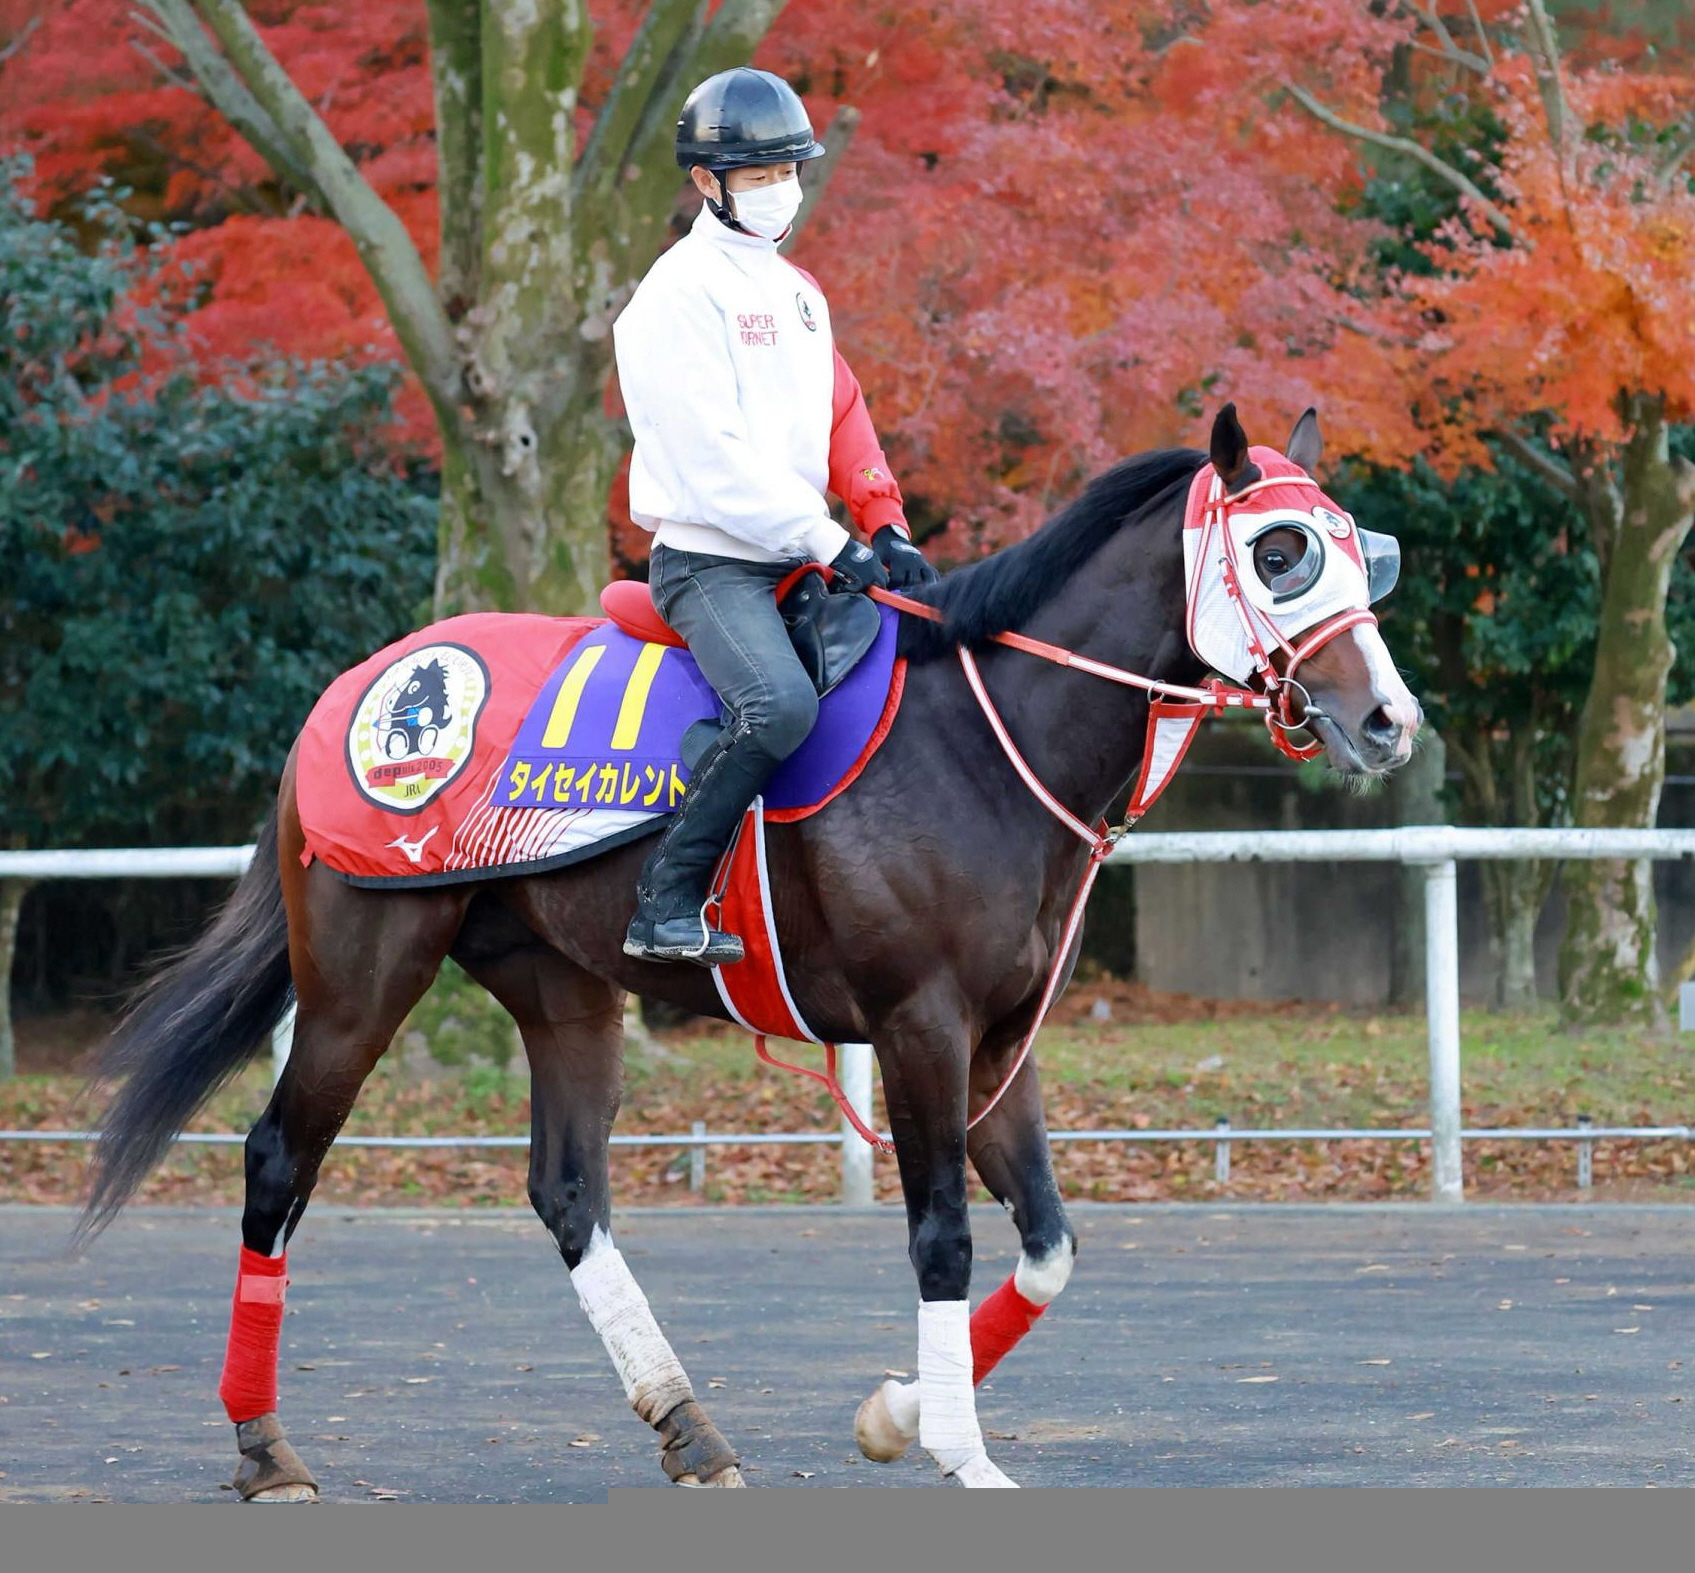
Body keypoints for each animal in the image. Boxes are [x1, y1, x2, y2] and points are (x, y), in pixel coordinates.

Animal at [82, 400, 1417, 1491]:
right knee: (278, 1162)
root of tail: (357, 685)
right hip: (361, 981)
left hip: (564, 989)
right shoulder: (921, 1025)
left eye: (1365, 550)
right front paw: (959, 1449)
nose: (1389, 720)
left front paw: (897, 1412)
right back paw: (265, 1447)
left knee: (569, 1190)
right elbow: (944, 1233)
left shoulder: (1002, 1040)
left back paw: (689, 1425)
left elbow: (1048, 1245)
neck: (983, 737)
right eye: (1281, 552)